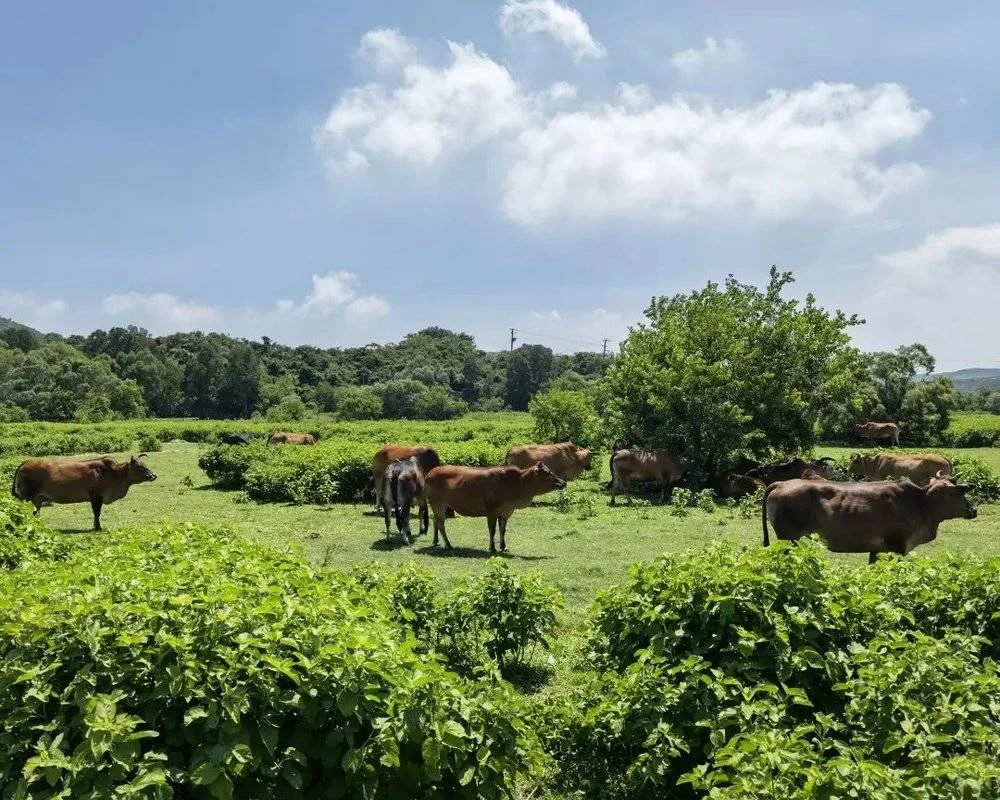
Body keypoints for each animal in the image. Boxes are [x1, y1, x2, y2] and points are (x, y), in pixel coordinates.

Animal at [10, 456, 158, 532]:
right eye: (139, 467)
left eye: (145, 465)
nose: (153, 475)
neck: (114, 473)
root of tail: (27, 462)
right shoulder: (96, 496)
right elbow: (97, 513)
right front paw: (97, 527)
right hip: (27, 497)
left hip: (37, 498)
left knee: (36, 512)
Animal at [420, 460, 564, 552]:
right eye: (547, 472)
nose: (563, 482)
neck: (518, 483)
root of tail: (430, 473)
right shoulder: (492, 511)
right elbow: (492, 530)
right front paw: (493, 548)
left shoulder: (506, 512)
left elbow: (502, 530)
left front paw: (503, 546)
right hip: (437, 502)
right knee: (441, 523)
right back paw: (449, 544)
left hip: (440, 504)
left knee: (435, 520)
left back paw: (436, 541)